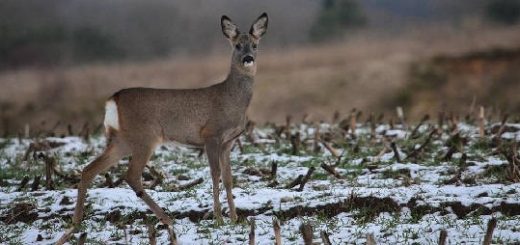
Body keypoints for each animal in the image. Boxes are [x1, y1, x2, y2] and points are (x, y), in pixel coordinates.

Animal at [56, 13, 268, 245]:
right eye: (237, 45)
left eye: (255, 45)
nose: (248, 58)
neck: (231, 99)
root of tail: (113, 99)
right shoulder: (211, 134)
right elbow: (215, 175)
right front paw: (219, 219)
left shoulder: (228, 142)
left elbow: (229, 179)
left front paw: (235, 218)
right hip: (145, 137)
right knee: (131, 175)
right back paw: (167, 219)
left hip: (122, 140)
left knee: (89, 169)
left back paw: (76, 222)